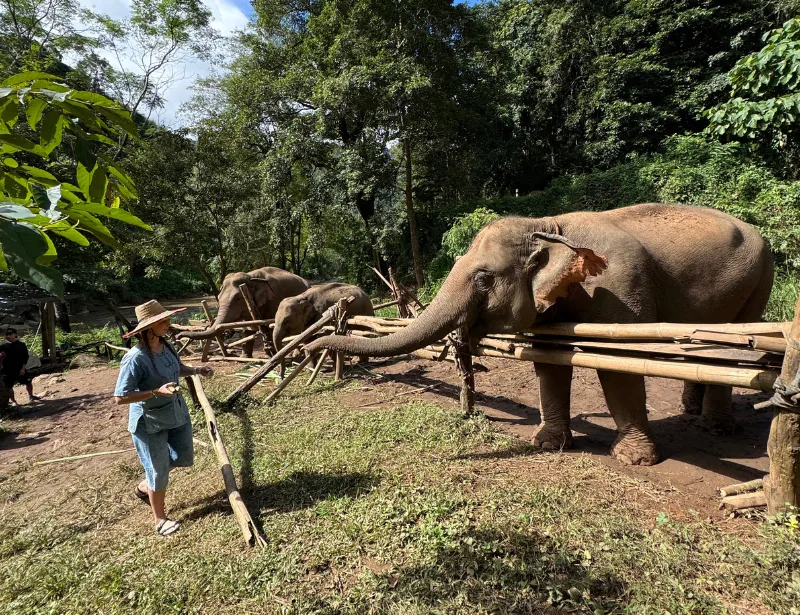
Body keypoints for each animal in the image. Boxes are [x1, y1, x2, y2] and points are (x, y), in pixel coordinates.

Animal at [178, 267, 309, 357]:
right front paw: (244, 357)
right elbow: (248, 329)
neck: (251, 276)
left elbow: (271, 326)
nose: (179, 337)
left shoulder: (274, 299)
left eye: (238, 298)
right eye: (218, 297)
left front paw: (272, 353)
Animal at [305, 203, 774, 466]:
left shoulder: (620, 287)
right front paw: (548, 444)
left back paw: (717, 429)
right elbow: (548, 358)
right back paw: (692, 410)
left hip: (760, 280)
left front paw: (636, 460)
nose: (310, 343)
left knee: (735, 346)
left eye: (483, 280)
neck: (549, 227)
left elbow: (617, 364)